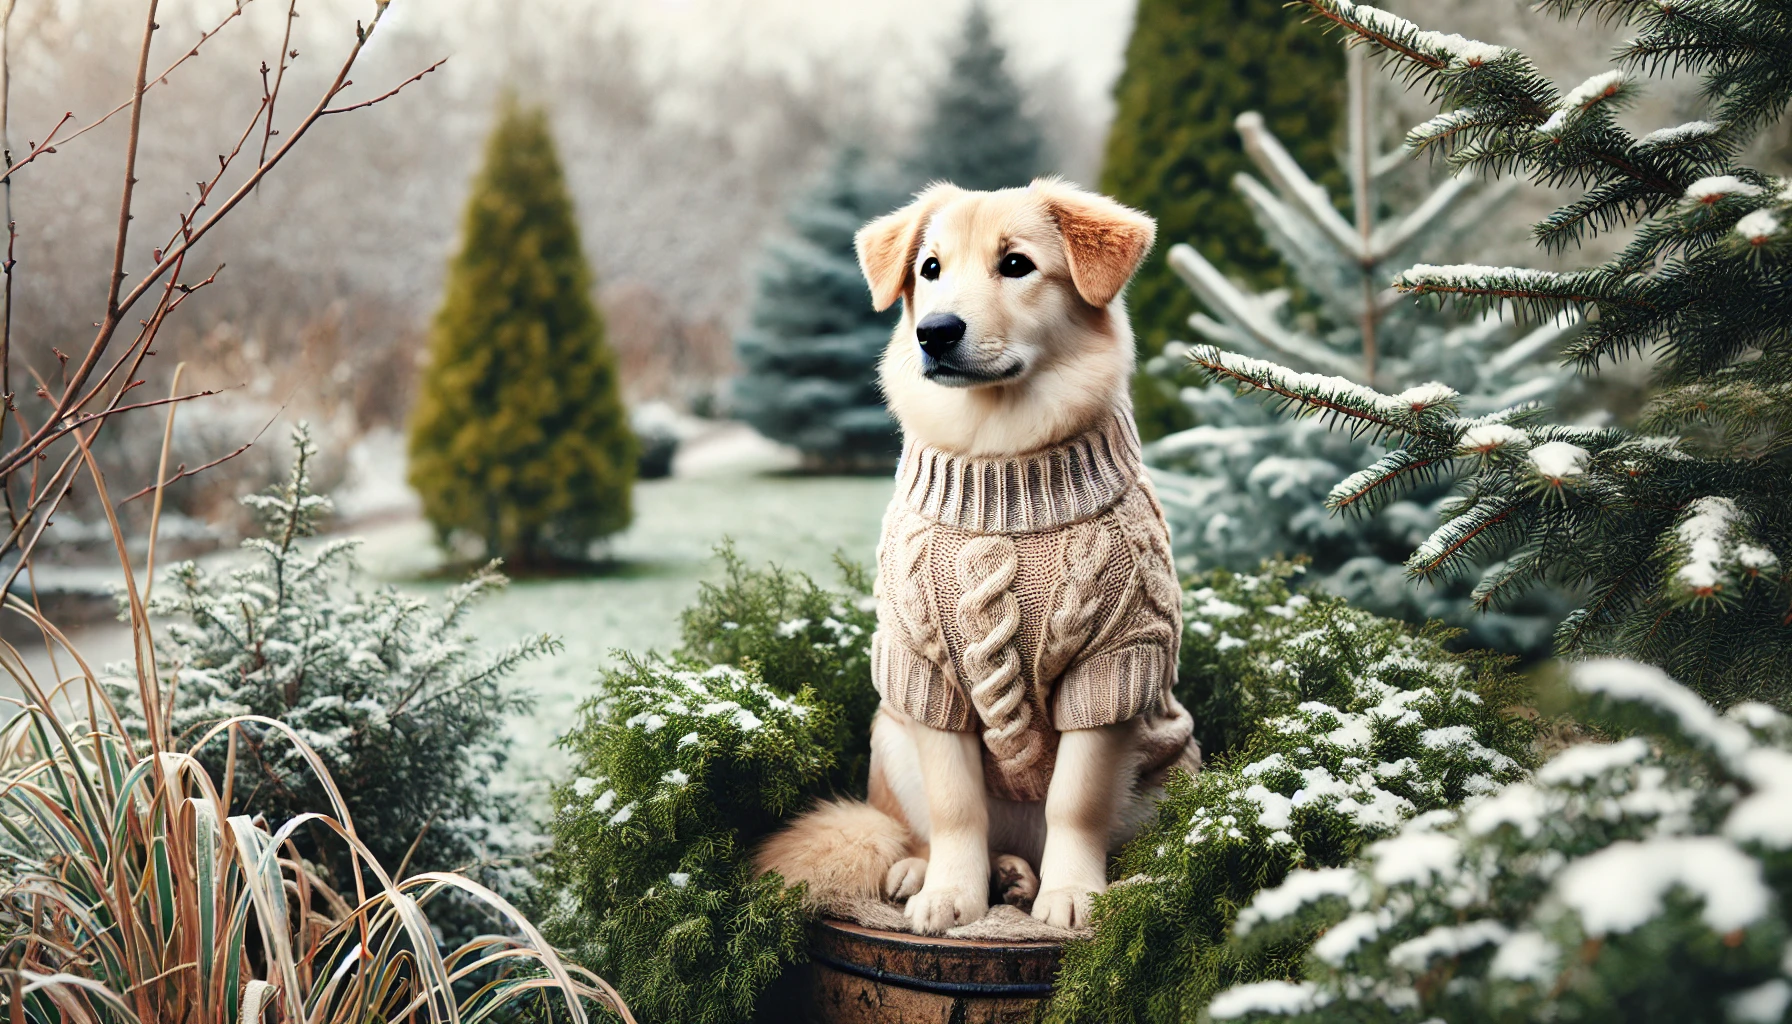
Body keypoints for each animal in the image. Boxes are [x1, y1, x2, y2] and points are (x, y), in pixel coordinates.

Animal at [749, 178, 1197, 939]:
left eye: (1016, 265)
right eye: (929, 269)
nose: (934, 332)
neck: (1002, 463)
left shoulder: (1112, 668)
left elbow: (1075, 802)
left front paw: (1072, 892)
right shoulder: (929, 676)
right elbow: (957, 807)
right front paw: (953, 891)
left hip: (1170, 766)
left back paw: (1049, 878)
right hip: (890, 734)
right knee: (928, 828)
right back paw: (949, 871)